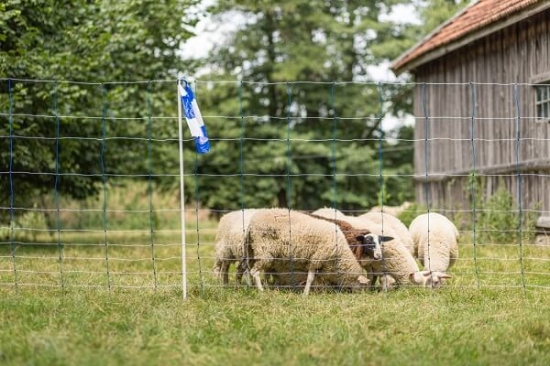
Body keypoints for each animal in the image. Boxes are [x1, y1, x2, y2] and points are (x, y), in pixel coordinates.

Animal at [244, 209, 374, 294]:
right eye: (362, 287)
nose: (361, 295)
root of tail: (251, 224)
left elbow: (317, 279)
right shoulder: (316, 259)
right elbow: (310, 278)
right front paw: (306, 293)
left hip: (254, 251)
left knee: (250, 270)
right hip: (264, 251)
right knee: (254, 272)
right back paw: (261, 291)